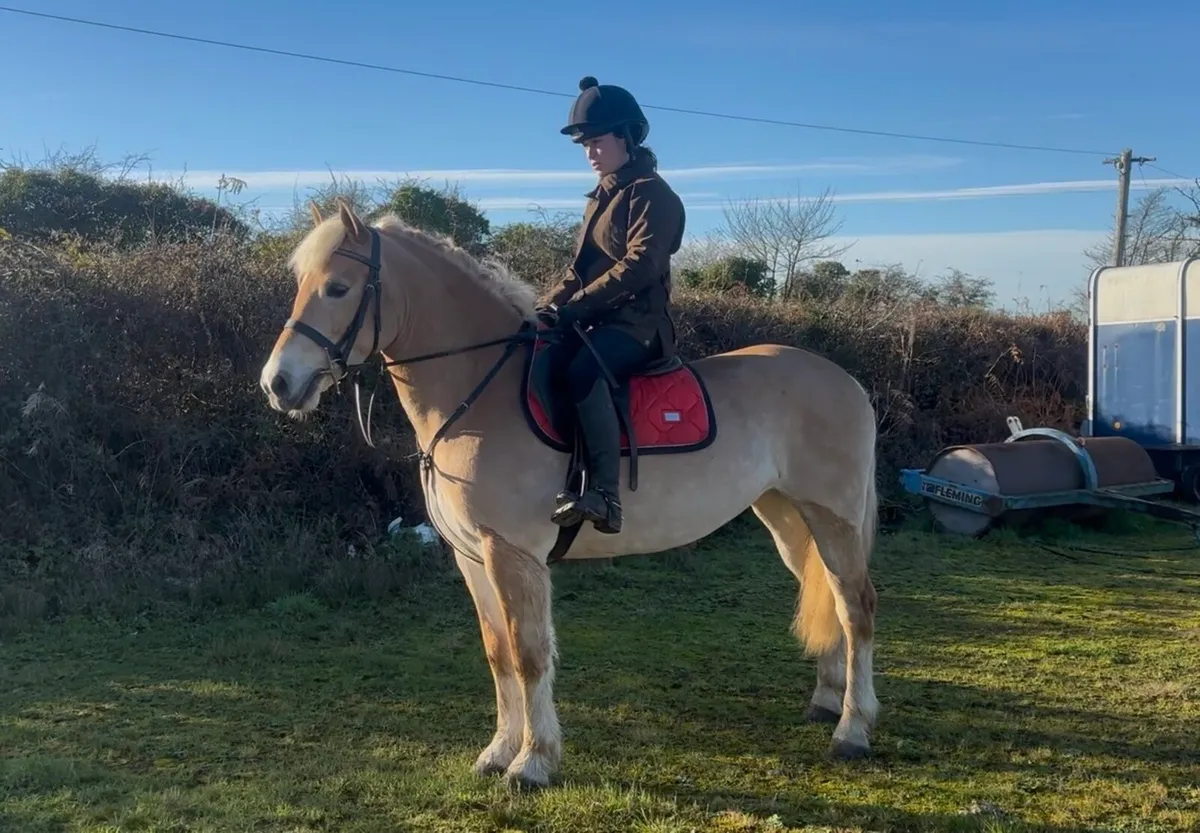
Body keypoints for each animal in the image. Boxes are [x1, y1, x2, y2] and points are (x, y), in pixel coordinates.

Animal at [258, 199, 880, 790]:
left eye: (339, 288)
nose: (277, 384)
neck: (479, 392)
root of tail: (846, 380)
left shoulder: (513, 555)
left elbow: (529, 656)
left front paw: (533, 762)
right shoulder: (472, 557)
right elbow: (498, 654)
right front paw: (498, 752)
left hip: (834, 519)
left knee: (856, 607)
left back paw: (853, 729)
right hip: (787, 516)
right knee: (825, 592)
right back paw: (826, 702)